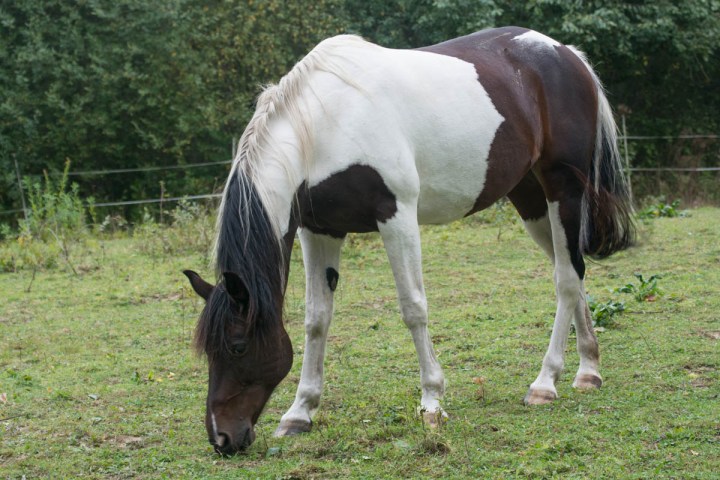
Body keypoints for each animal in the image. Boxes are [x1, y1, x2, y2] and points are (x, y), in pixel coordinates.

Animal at [183, 26, 635, 455]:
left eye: (237, 347)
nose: (221, 438)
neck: (326, 124)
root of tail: (566, 54)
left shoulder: (396, 216)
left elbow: (413, 307)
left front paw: (432, 401)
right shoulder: (320, 230)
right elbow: (316, 318)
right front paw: (299, 412)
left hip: (563, 188)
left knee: (566, 278)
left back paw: (545, 382)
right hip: (530, 199)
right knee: (571, 269)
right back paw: (588, 371)